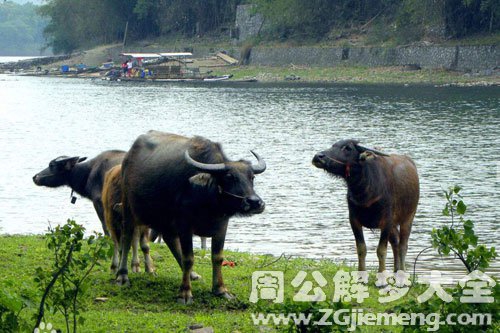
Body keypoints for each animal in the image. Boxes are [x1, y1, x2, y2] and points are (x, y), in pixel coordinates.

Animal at [118, 131, 266, 302]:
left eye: (252, 177)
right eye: (229, 177)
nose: (255, 202)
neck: (208, 200)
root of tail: (127, 158)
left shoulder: (222, 225)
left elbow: (217, 257)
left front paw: (221, 289)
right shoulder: (185, 225)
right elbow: (189, 258)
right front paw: (185, 293)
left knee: (170, 240)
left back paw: (193, 275)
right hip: (128, 207)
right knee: (127, 238)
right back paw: (122, 276)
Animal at [312, 139, 418, 272]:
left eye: (347, 148)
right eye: (333, 145)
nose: (318, 157)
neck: (365, 190)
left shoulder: (387, 221)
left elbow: (381, 251)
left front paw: (381, 275)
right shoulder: (354, 220)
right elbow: (361, 249)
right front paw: (361, 273)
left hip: (408, 218)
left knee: (403, 245)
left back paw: (401, 273)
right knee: (396, 242)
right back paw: (395, 270)